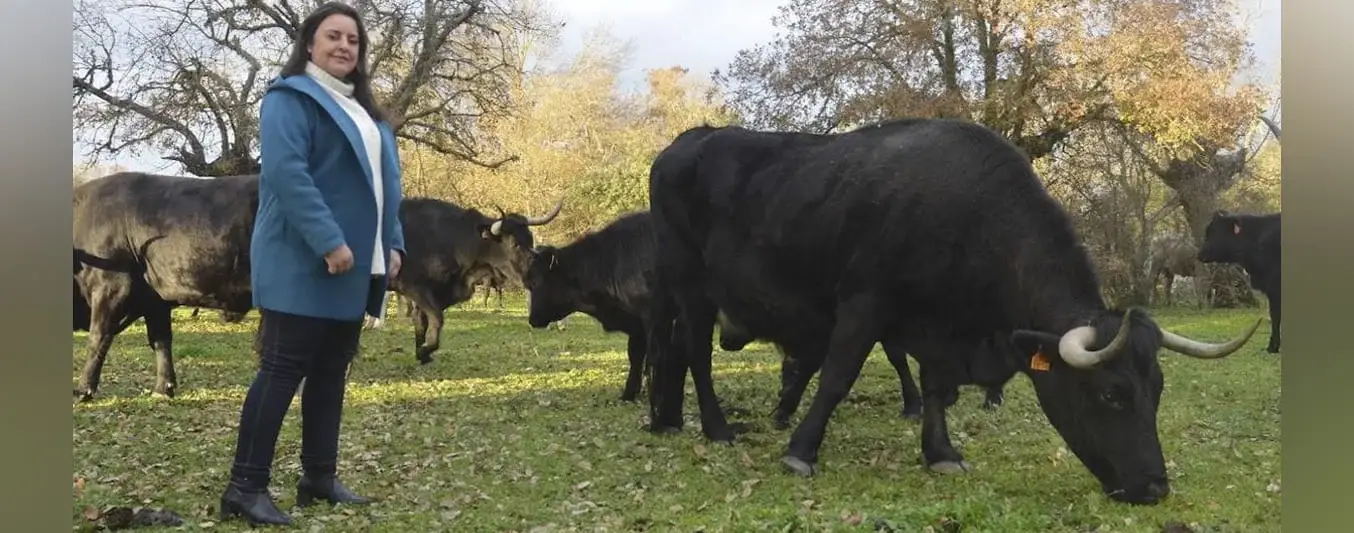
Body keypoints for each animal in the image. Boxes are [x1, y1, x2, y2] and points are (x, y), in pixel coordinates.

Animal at [72, 172, 258, 403]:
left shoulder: (110, 289)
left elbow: (98, 338)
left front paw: (83, 390)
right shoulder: (155, 301)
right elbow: (161, 340)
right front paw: (163, 388)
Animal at [389, 197, 563, 365]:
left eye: (530, 240)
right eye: (515, 244)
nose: (535, 278)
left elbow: (421, 319)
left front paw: (422, 353)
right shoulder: (413, 286)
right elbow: (437, 318)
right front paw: (424, 350)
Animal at [641, 118, 1256, 505]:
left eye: (1158, 390)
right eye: (1111, 394)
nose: (1155, 488)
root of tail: (683, 143)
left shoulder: (940, 326)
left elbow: (935, 389)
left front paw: (940, 452)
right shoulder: (865, 301)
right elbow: (838, 376)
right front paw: (800, 451)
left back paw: (666, 418)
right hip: (689, 283)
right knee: (695, 353)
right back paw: (716, 427)